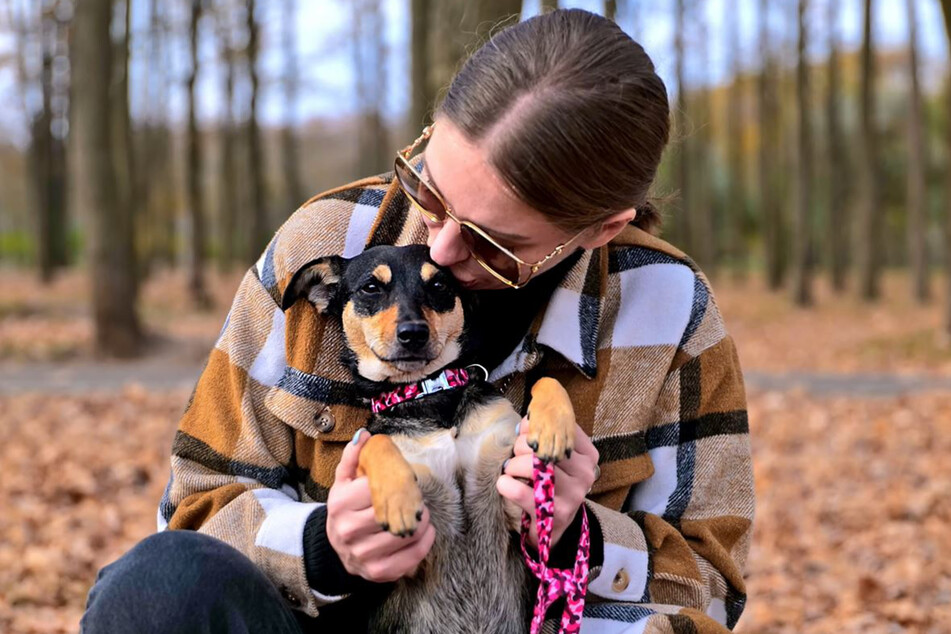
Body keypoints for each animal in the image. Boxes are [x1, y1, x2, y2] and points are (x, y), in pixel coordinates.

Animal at [286, 244, 576, 628]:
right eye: (371, 288)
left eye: (439, 284)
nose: (413, 333)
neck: (428, 393)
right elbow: (375, 440)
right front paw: (398, 498)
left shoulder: (514, 501)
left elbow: (547, 380)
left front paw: (554, 426)